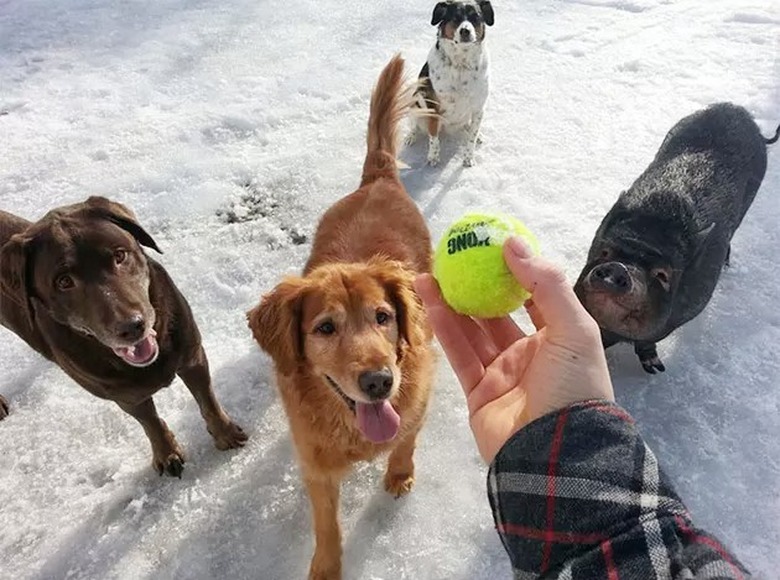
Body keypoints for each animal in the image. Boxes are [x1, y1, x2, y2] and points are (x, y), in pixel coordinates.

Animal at [0, 198, 247, 476]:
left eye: (119, 255)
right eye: (63, 281)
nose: (132, 327)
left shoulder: (193, 355)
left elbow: (208, 400)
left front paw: (226, 434)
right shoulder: (125, 396)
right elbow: (150, 422)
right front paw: (167, 453)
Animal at [248, 54, 436, 580]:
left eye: (383, 317)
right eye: (325, 327)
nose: (379, 382)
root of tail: (378, 179)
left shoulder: (417, 401)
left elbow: (406, 440)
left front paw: (400, 474)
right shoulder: (316, 466)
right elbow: (327, 524)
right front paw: (327, 567)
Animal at [408, 1, 494, 167]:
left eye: (476, 17)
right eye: (455, 17)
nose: (465, 31)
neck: (461, 64)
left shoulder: (478, 107)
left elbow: (471, 138)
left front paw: (468, 158)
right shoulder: (433, 107)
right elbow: (433, 137)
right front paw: (433, 157)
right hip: (416, 100)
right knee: (414, 125)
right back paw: (411, 136)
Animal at [576, 103, 776, 376]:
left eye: (663, 275)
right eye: (604, 253)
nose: (618, 268)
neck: (650, 234)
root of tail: (739, 112)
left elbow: (648, 340)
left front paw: (656, 369)